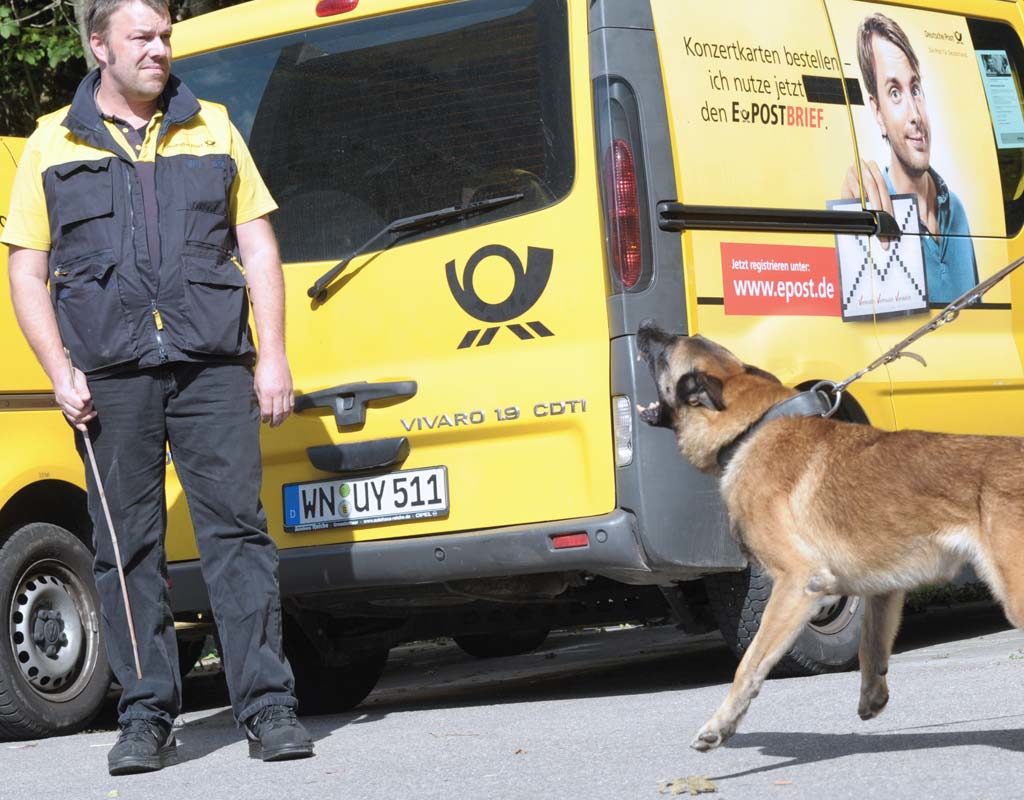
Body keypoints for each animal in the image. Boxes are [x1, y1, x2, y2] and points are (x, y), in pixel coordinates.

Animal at [634, 317, 1024, 749]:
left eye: (666, 350)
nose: (646, 326)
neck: (750, 428)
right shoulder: (883, 587)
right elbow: (872, 646)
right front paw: (873, 695)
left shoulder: (797, 582)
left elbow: (750, 663)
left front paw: (721, 724)